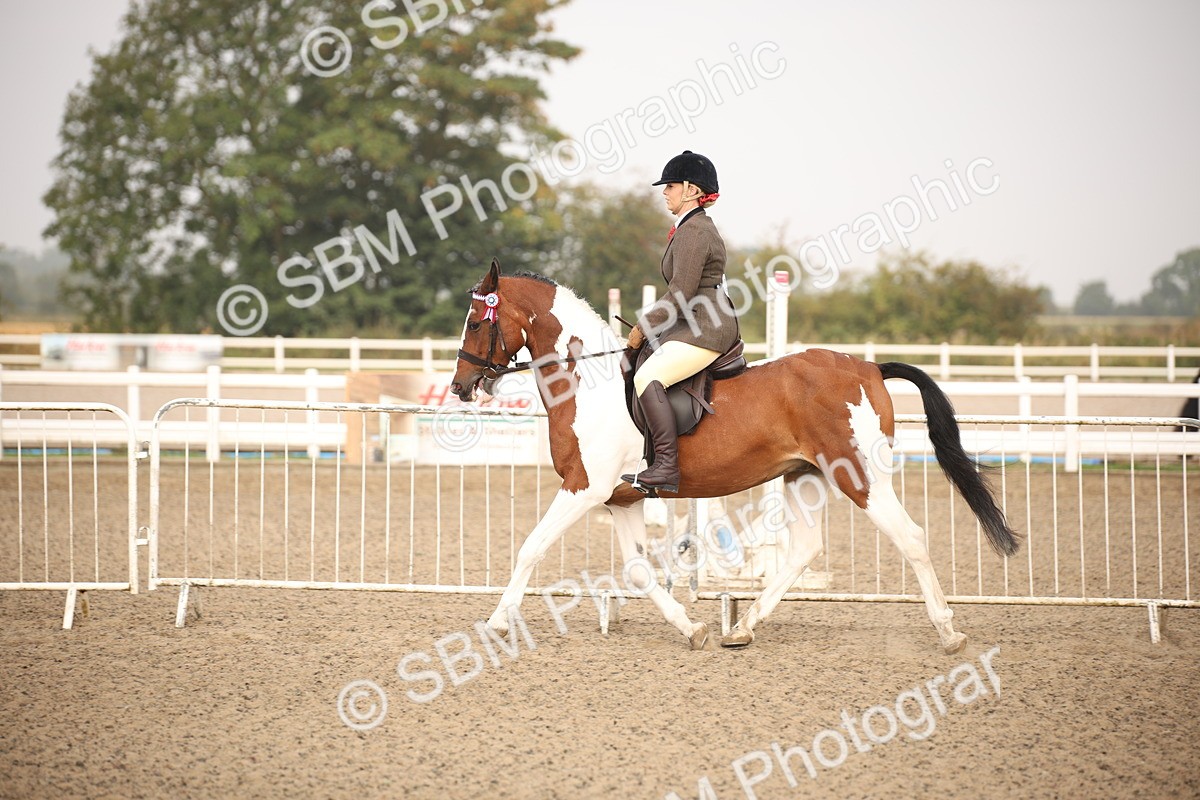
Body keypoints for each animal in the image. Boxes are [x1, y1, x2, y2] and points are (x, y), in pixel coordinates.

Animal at [451, 260, 1020, 653]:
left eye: (476, 322)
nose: (460, 387)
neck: (586, 383)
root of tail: (868, 368)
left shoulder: (582, 489)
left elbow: (530, 548)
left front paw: (496, 623)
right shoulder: (621, 499)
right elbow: (639, 572)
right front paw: (693, 628)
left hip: (863, 479)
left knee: (911, 538)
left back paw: (948, 633)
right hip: (805, 477)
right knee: (805, 548)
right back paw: (743, 627)